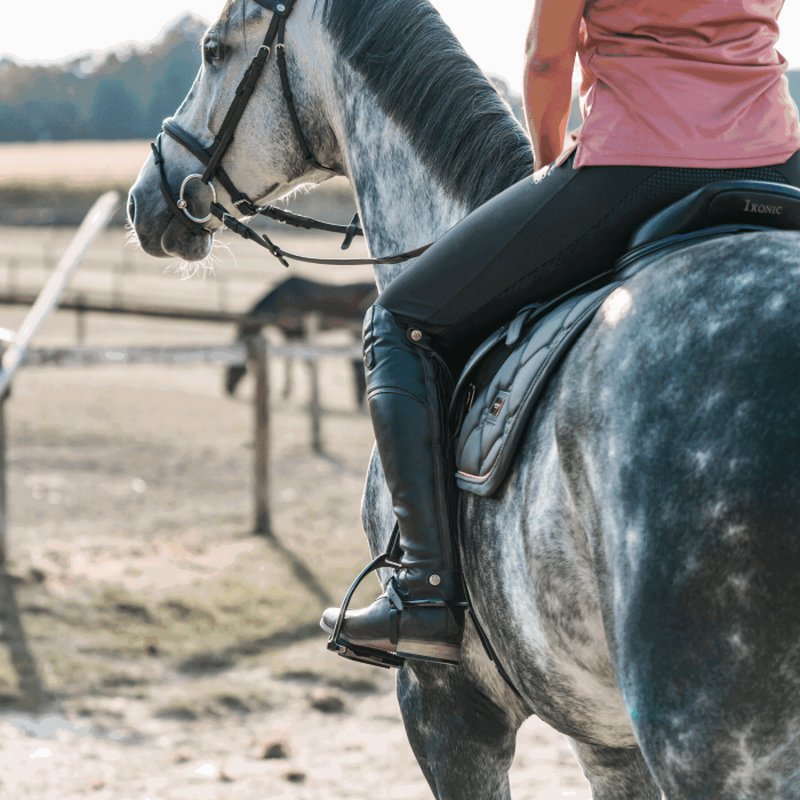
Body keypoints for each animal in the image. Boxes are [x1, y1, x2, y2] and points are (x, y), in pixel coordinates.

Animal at [224, 275, 374, 403]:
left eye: (234, 366)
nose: (228, 389)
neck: (282, 299)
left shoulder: (298, 332)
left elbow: (304, 361)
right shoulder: (290, 334)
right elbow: (289, 360)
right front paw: (286, 391)